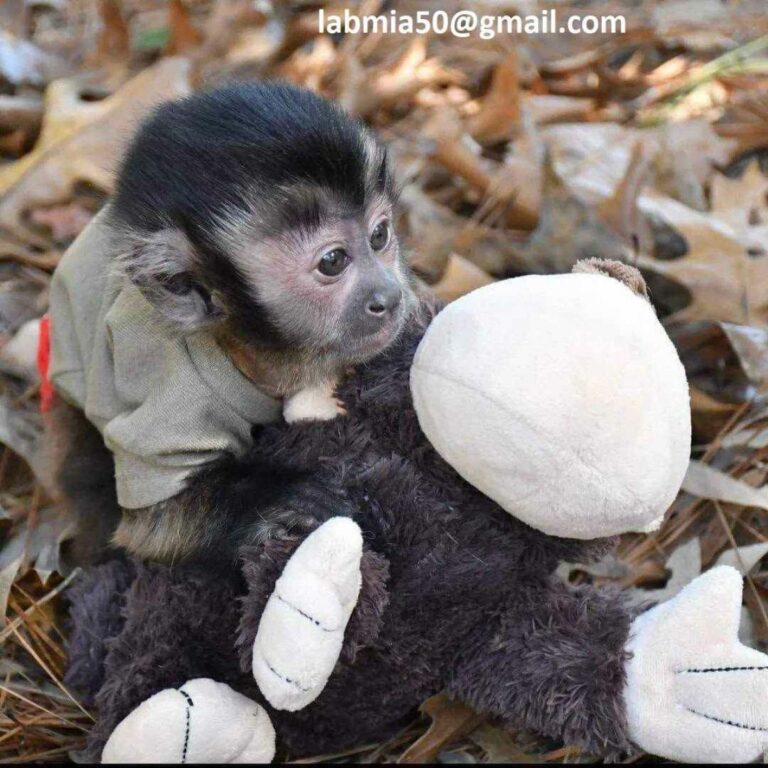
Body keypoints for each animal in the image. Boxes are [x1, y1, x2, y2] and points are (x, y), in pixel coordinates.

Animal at [44, 82, 417, 568]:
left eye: (379, 236)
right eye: (333, 261)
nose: (388, 297)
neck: (246, 351)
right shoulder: (171, 390)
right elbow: (152, 525)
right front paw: (292, 497)